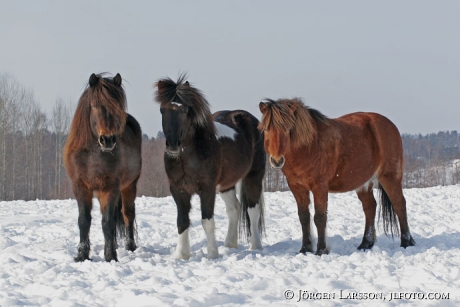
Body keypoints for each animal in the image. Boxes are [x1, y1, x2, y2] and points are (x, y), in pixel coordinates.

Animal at [63, 73, 142, 262]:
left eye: (118, 106)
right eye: (95, 105)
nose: (108, 140)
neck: (93, 155)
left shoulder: (110, 187)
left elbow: (107, 222)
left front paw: (110, 256)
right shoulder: (81, 187)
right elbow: (84, 220)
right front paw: (82, 255)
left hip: (129, 185)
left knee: (128, 214)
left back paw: (129, 246)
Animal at [155, 76, 266, 262]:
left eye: (185, 110)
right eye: (162, 110)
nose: (173, 145)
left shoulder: (207, 189)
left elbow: (207, 221)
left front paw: (212, 254)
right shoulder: (178, 190)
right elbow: (182, 221)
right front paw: (181, 255)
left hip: (253, 177)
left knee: (253, 210)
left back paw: (255, 246)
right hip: (226, 184)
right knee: (234, 209)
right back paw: (229, 244)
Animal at [258, 98, 416, 255]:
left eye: (288, 129)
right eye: (265, 129)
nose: (276, 160)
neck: (309, 146)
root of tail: (389, 125)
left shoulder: (320, 187)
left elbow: (320, 217)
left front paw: (321, 250)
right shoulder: (297, 187)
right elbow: (304, 217)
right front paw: (305, 249)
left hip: (390, 176)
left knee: (399, 204)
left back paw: (406, 242)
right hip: (363, 183)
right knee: (370, 207)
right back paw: (365, 244)